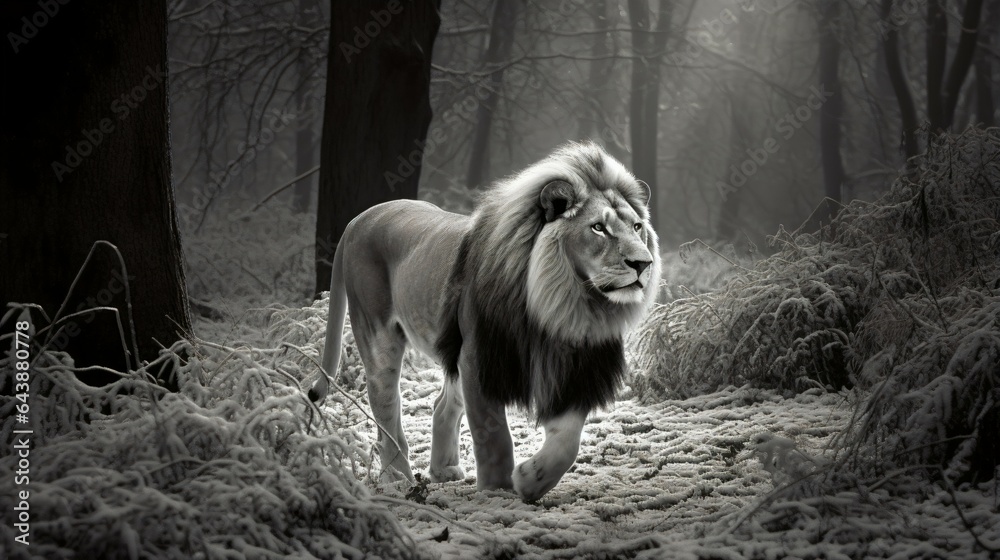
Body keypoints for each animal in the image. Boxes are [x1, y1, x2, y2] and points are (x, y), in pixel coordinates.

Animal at [314, 142, 661, 502]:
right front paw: (497, 491)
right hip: (379, 335)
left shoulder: (573, 367)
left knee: (441, 404)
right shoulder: (479, 356)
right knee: (386, 410)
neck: (565, 303)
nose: (643, 263)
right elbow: (492, 434)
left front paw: (530, 479)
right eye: (598, 228)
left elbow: (567, 441)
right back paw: (397, 479)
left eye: (637, 227)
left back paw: (445, 470)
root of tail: (358, 219)